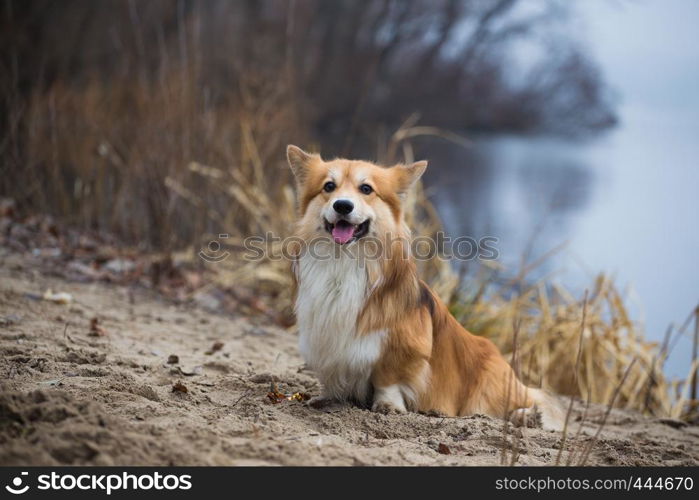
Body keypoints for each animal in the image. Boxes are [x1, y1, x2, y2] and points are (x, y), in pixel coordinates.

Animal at [284, 145, 564, 430]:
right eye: (329, 186)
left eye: (366, 189)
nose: (342, 205)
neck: (344, 260)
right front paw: (328, 397)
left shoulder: (403, 346)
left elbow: (388, 378)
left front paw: (388, 405)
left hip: (488, 385)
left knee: (526, 401)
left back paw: (528, 416)